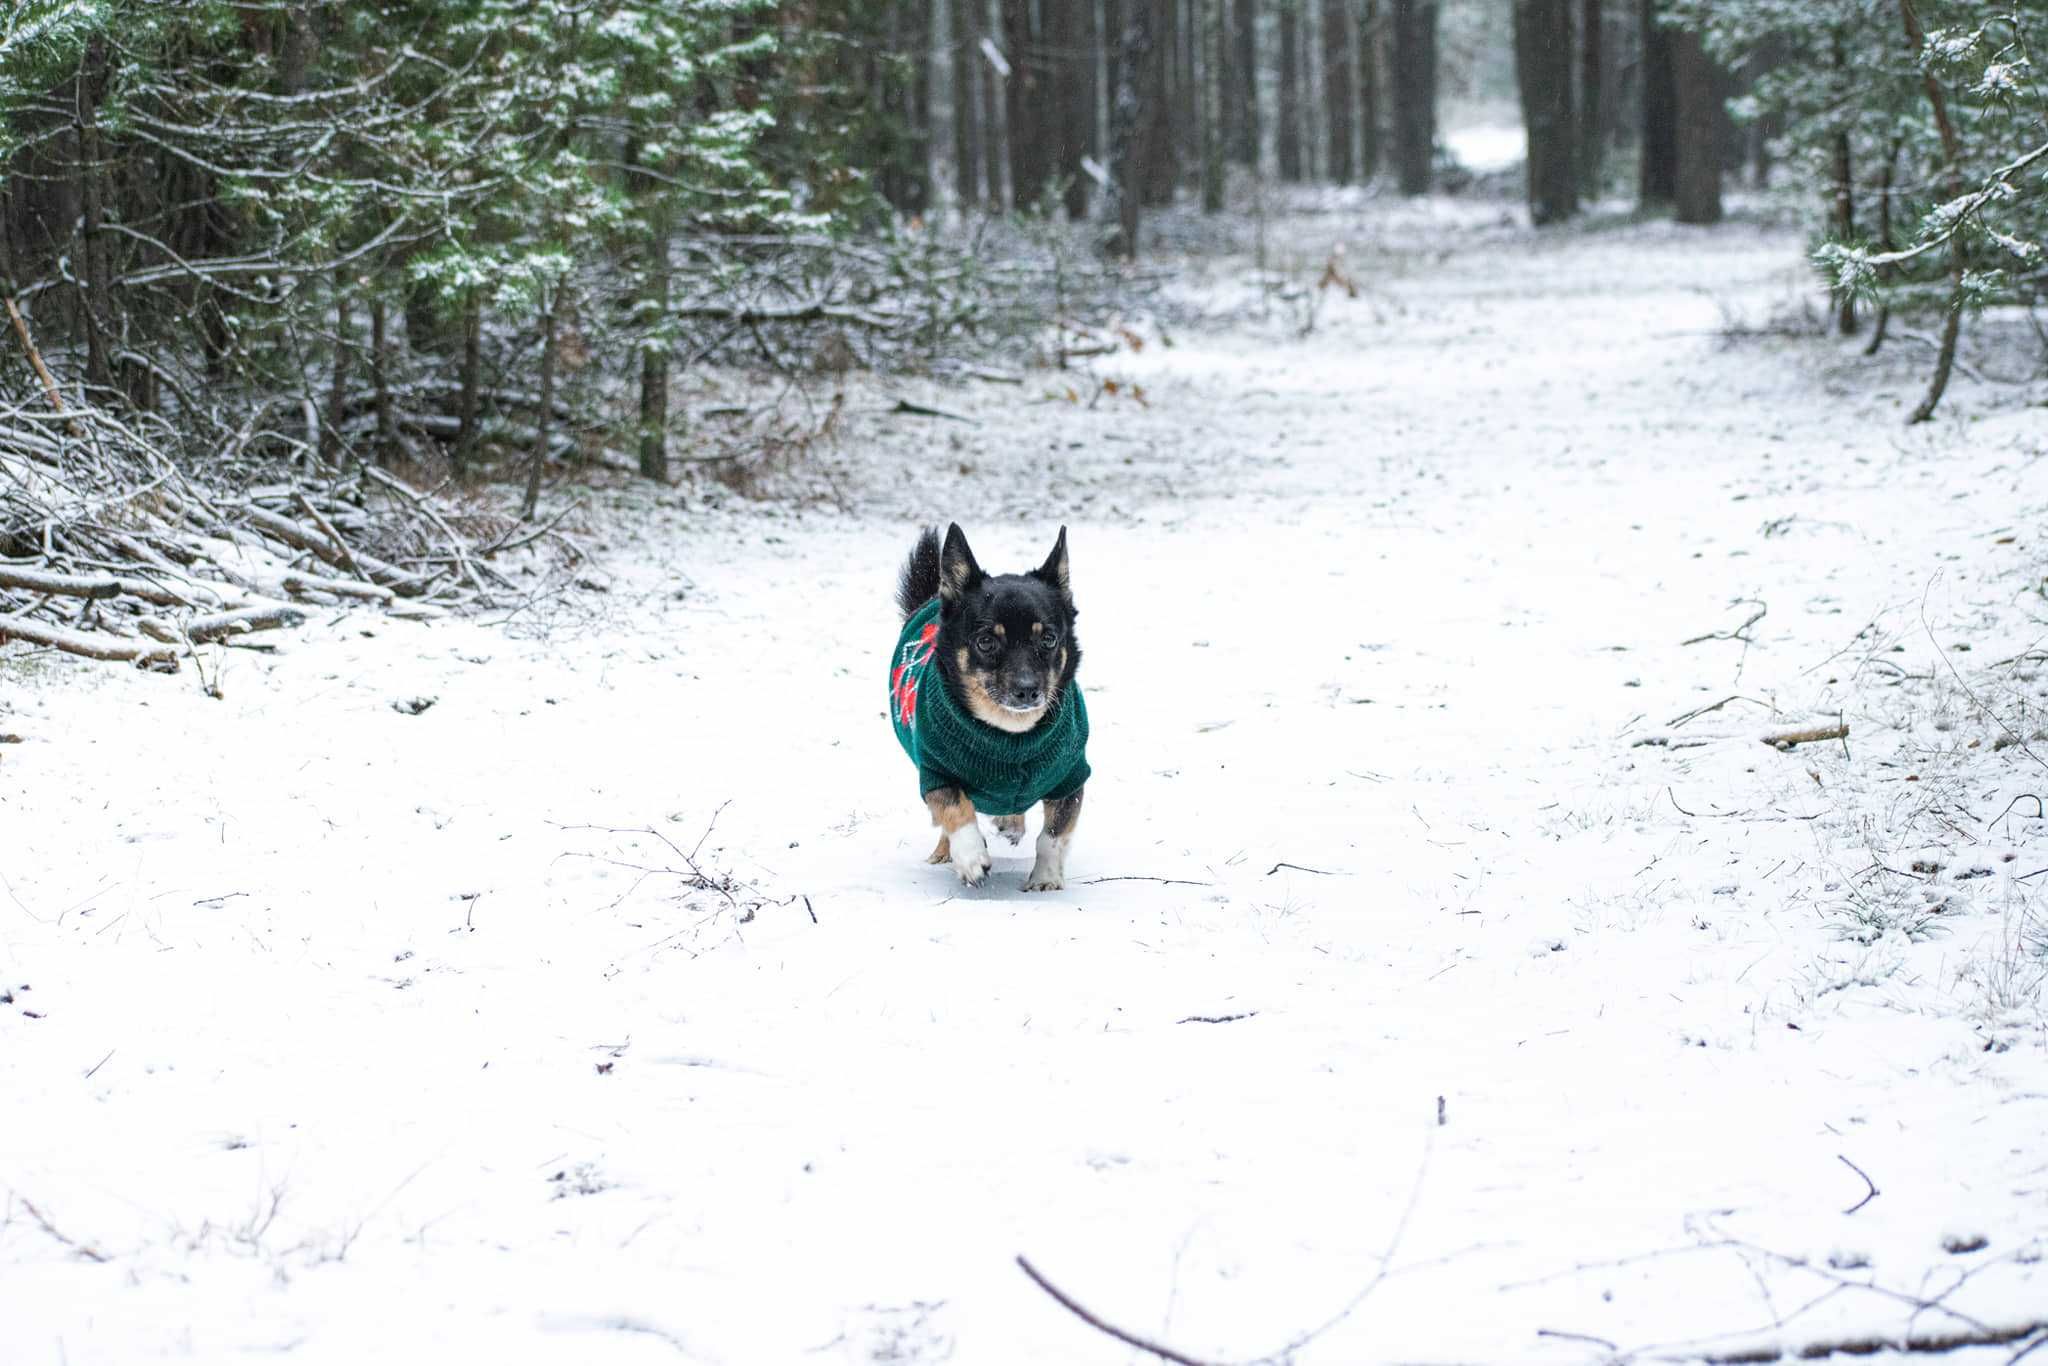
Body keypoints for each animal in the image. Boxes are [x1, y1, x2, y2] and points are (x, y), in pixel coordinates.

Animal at [892, 520, 1097, 888]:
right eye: (986, 642)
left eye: (1048, 638)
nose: (1027, 690)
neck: (1009, 733)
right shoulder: (936, 773)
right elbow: (954, 808)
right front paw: (971, 856)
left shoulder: (1071, 778)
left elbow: (1053, 834)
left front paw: (1045, 877)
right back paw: (947, 851)